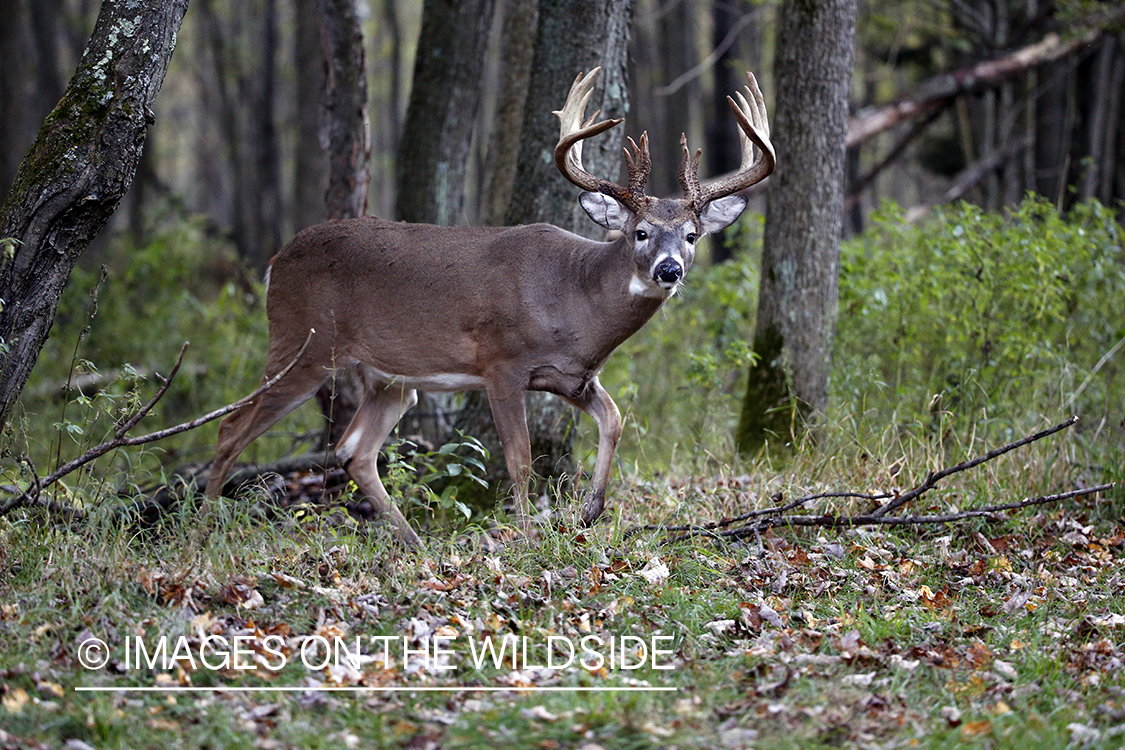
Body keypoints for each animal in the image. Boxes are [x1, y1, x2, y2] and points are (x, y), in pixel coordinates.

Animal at [204, 67, 774, 546]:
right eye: (640, 232)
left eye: (693, 235)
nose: (669, 270)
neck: (576, 299)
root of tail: (275, 262)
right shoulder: (502, 363)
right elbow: (520, 460)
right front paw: (525, 536)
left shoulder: (572, 378)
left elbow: (614, 419)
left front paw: (589, 510)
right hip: (303, 341)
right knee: (231, 429)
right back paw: (202, 528)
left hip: (390, 379)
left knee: (353, 452)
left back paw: (412, 543)